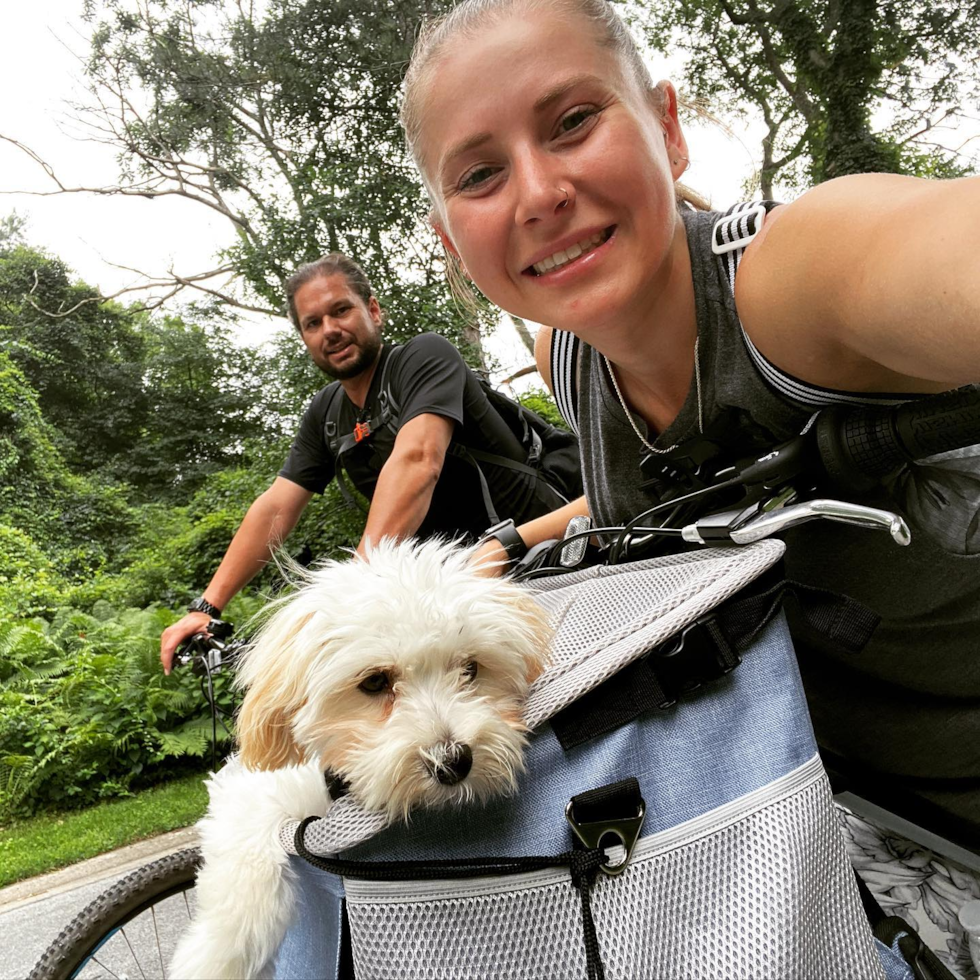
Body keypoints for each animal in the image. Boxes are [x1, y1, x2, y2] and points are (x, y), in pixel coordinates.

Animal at [170, 540, 552, 976]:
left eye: (471, 669)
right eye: (373, 682)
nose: (453, 762)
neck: (335, 788)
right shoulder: (252, 793)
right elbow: (241, 889)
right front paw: (213, 961)